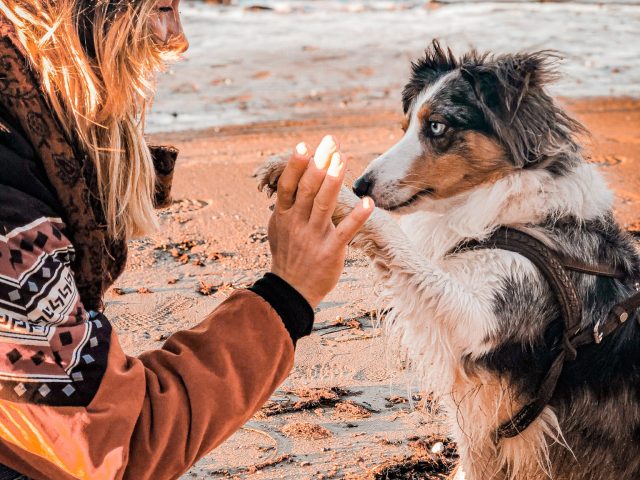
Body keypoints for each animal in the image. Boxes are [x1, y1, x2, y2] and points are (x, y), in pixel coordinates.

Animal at [258, 42, 640, 480]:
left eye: (437, 126)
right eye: (406, 125)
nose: (360, 184)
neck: (510, 213)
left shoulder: (480, 318)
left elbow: (394, 236)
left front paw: (332, 193)